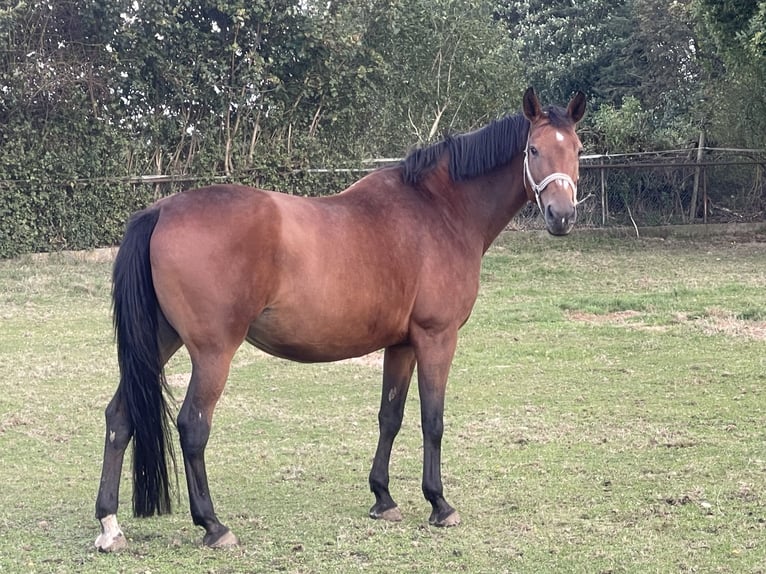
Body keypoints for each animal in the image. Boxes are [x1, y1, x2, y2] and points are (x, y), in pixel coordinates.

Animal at [96, 86, 588, 552]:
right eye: (533, 150)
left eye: (578, 149)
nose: (561, 216)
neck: (439, 210)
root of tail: (160, 210)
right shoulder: (436, 338)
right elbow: (433, 419)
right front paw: (439, 503)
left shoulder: (401, 344)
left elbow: (390, 415)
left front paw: (383, 499)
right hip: (213, 352)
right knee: (193, 427)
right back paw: (213, 526)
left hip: (160, 340)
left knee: (120, 416)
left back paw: (109, 525)